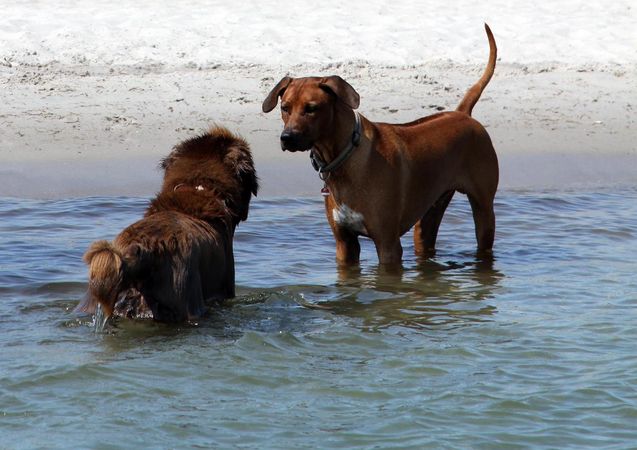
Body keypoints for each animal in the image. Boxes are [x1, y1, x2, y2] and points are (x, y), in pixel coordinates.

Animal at [262, 23, 496, 264]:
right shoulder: (344, 243)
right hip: (430, 212)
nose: (287, 137)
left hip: (484, 209)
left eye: (311, 108)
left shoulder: (387, 244)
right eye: (285, 108)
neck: (345, 159)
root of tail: (463, 114)